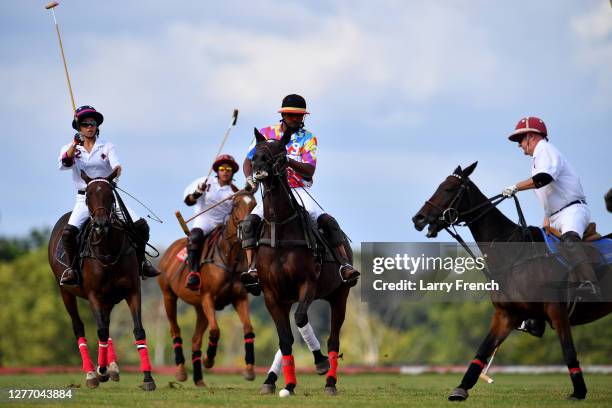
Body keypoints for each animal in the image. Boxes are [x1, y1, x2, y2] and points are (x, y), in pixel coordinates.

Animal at [49, 171, 157, 390]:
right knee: (79, 327)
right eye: (88, 195)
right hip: (66, 292)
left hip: (110, 298)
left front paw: (148, 377)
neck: (108, 252)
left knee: (106, 324)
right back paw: (92, 372)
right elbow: (100, 331)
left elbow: (138, 331)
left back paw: (112, 367)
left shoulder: (132, 291)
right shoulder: (94, 295)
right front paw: (101, 370)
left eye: (110, 195)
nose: (100, 224)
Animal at [157, 191, 256, 386]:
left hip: (199, 307)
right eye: (236, 205)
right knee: (175, 329)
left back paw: (199, 380)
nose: (247, 229)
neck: (229, 257)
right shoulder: (208, 297)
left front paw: (249, 370)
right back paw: (181, 372)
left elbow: (248, 328)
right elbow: (216, 330)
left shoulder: (240, 297)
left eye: (254, 204)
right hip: (168, 296)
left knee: (195, 340)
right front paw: (208, 360)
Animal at [250, 127, 354, 396]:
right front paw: (285, 384)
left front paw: (319, 363)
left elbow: (300, 321)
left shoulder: (307, 284)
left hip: (339, 295)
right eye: (255, 152)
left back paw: (330, 381)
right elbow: (285, 340)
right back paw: (274, 380)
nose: (259, 166)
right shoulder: (272, 294)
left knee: (333, 339)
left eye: (279, 152)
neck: (280, 228)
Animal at [412, 161, 612, 400]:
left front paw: (579, 392)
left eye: (449, 189)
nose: (418, 219)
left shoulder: (557, 310)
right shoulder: (506, 314)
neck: (514, 254)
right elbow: (483, 349)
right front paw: (461, 389)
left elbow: (568, 350)